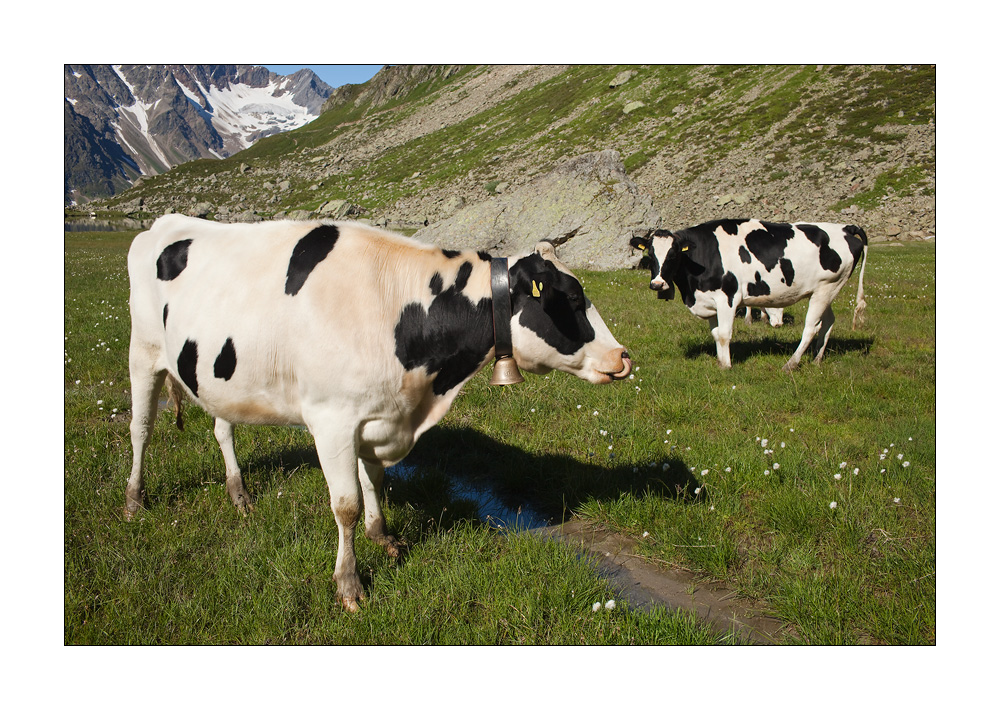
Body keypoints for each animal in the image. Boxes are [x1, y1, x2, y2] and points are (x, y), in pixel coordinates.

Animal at [126, 214, 632, 610]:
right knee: (141, 429)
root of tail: (163, 222)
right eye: (569, 298)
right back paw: (134, 500)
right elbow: (345, 504)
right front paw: (349, 583)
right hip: (143, 354)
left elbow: (374, 479)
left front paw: (381, 536)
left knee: (222, 428)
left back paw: (239, 494)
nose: (623, 356)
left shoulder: (379, 414)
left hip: (216, 376)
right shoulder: (332, 419)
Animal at [630, 218, 867, 371]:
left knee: (811, 328)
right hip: (825, 290)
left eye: (674, 254)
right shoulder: (710, 301)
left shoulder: (727, 297)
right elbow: (715, 334)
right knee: (828, 322)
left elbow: (724, 334)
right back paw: (817, 360)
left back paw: (790, 364)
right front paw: (720, 361)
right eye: (650, 253)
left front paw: (726, 366)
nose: (657, 284)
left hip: (825, 288)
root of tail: (845, 227)